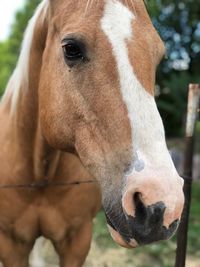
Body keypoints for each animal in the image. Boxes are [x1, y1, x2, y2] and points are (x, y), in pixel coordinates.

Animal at [0, 0, 184, 266]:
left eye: (158, 54)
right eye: (71, 48)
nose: (162, 205)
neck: (40, 174)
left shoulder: (78, 240)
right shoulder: (11, 244)